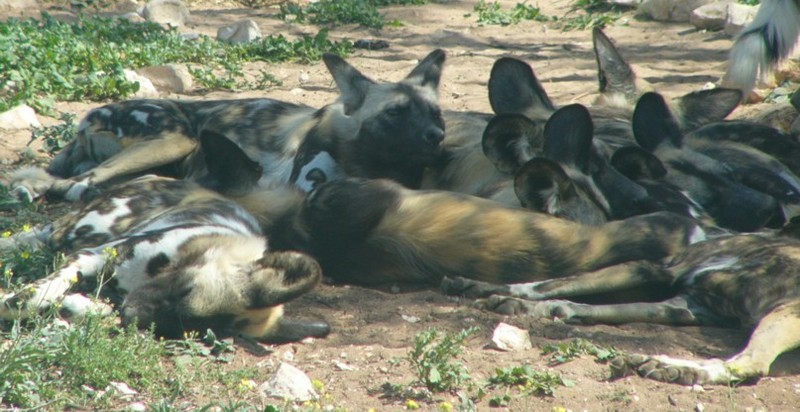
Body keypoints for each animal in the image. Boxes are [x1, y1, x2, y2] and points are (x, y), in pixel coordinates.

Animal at [0, 131, 326, 342]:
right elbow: (38, 295)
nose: (131, 313)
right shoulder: (93, 255)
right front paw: (14, 302)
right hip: (82, 228)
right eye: (185, 290)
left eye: (185, 330)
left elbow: (95, 309)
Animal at [12, 49, 446, 202]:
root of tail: (88, 115)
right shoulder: (302, 180)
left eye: (436, 115)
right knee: (73, 186)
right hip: (174, 139)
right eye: (395, 113)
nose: (436, 136)